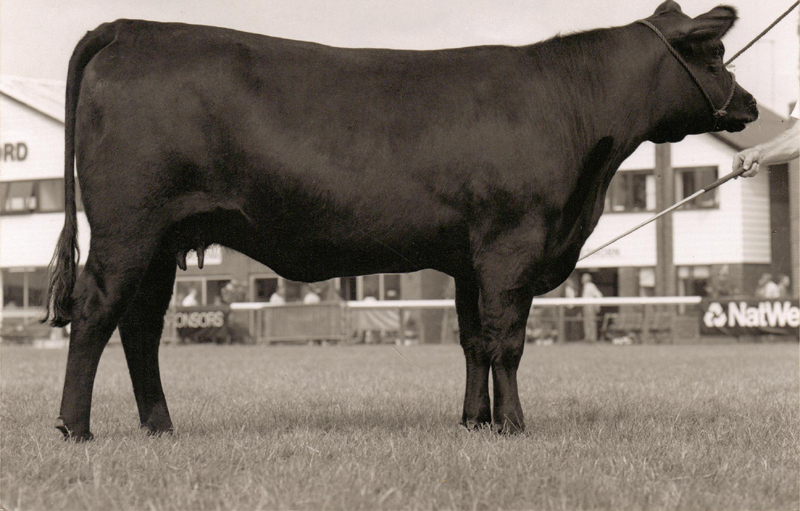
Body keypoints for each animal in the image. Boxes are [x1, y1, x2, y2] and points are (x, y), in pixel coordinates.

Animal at [46, 0, 757, 440]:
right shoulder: (512, 245)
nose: (749, 104)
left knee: (140, 327)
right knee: (96, 314)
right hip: (129, 228)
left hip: (162, 238)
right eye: (716, 52)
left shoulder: (471, 258)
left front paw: (474, 423)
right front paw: (514, 425)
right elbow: (508, 341)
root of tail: (130, 27)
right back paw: (75, 428)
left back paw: (159, 426)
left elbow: (473, 340)